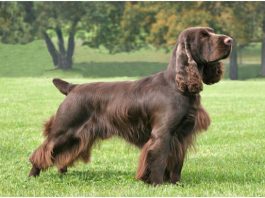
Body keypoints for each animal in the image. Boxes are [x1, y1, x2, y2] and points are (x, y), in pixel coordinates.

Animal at [29, 27, 231, 185]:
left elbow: (176, 164)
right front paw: (157, 184)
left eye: (212, 32)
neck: (178, 86)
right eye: (204, 35)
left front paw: (175, 184)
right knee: (42, 151)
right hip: (64, 129)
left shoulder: (182, 135)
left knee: (61, 155)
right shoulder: (162, 133)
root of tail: (73, 87)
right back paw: (32, 176)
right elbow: (159, 161)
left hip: (76, 136)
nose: (230, 40)